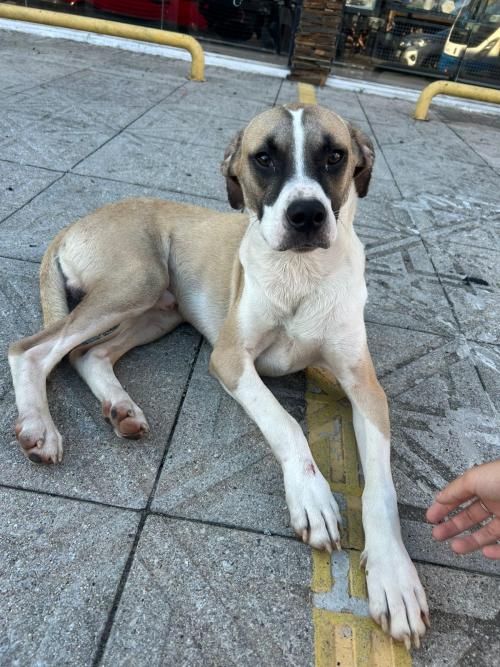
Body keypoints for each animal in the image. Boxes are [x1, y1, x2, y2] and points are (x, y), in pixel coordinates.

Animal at [8, 103, 429, 648]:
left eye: (335, 155)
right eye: (263, 157)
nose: (307, 215)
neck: (301, 273)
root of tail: (81, 219)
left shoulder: (364, 386)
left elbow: (381, 486)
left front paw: (395, 578)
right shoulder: (230, 359)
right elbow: (285, 424)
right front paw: (312, 497)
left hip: (158, 308)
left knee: (88, 355)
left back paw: (121, 407)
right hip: (137, 282)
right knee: (31, 350)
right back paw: (40, 427)